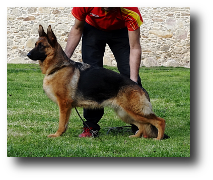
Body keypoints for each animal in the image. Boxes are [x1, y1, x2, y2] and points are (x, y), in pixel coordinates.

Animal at [27, 25, 166, 140]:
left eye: (41, 46)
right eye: (35, 44)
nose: (28, 54)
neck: (59, 67)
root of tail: (140, 88)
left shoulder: (64, 105)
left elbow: (62, 123)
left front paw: (57, 135)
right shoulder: (66, 106)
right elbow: (64, 123)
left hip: (134, 111)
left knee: (159, 121)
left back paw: (158, 138)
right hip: (125, 113)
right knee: (143, 125)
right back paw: (136, 137)